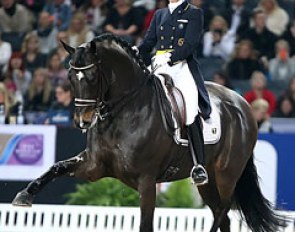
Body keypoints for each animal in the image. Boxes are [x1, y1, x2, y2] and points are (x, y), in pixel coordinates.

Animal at [12, 35, 286, 232]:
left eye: (91, 76)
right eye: (70, 76)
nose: (82, 121)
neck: (123, 110)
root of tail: (242, 104)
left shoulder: (146, 180)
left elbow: (146, 225)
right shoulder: (93, 168)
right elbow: (56, 167)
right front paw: (24, 195)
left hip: (226, 174)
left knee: (223, 210)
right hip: (208, 181)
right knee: (223, 215)